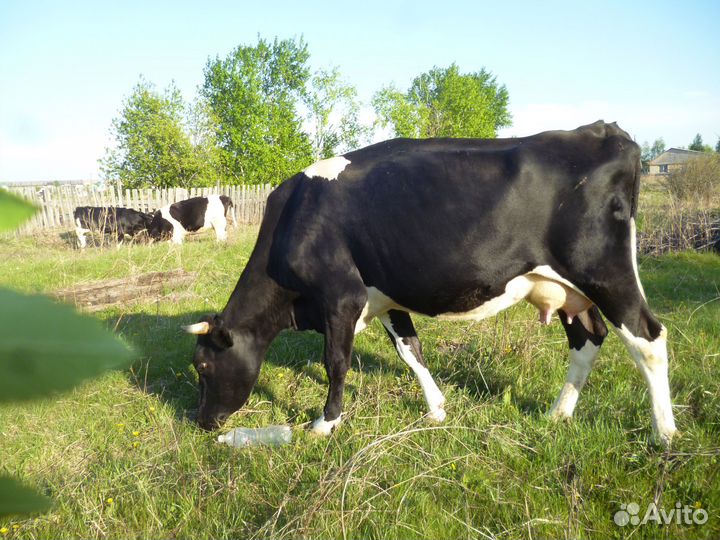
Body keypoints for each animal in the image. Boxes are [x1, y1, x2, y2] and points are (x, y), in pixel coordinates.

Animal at [182, 121, 677, 447]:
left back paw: (665, 433)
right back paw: (559, 414)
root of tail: (603, 130)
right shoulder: (382, 297)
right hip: (567, 289)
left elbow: (336, 362)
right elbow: (410, 350)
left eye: (203, 366)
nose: (202, 423)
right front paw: (437, 408)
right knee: (588, 339)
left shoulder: (341, 296)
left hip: (604, 271)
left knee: (648, 338)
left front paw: (326, 424)